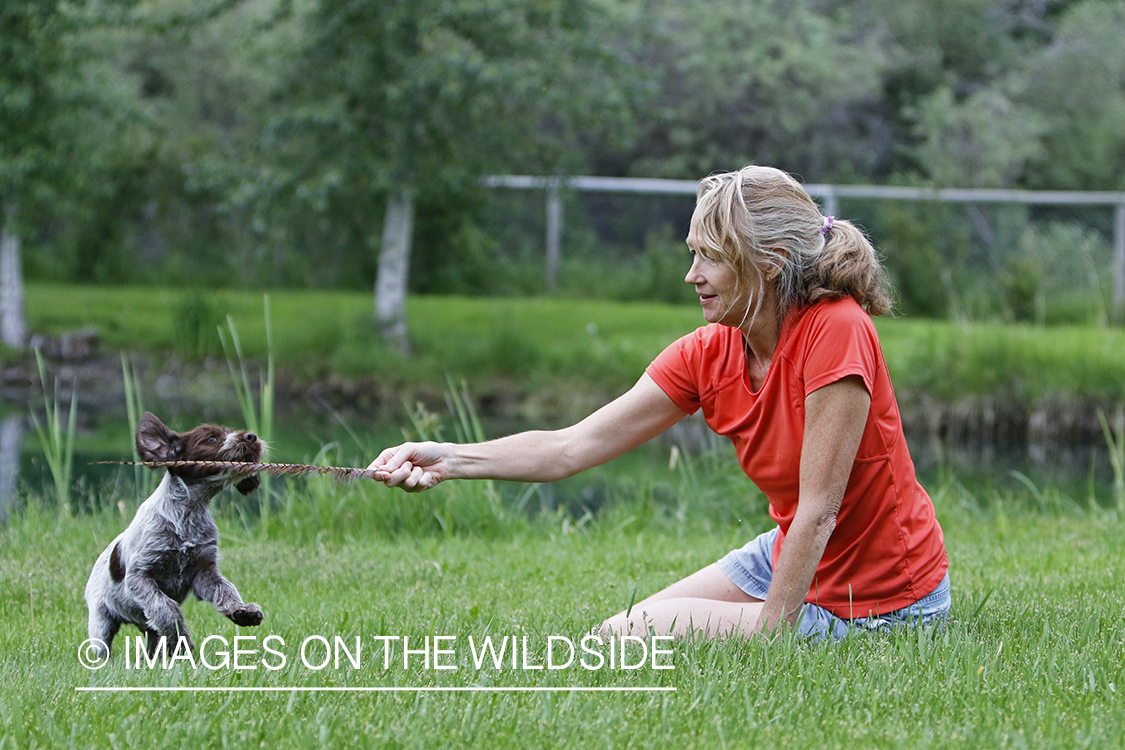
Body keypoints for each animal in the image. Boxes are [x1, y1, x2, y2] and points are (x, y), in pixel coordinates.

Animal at [83, 413, 265, 661]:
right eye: (211, 438)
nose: (252, 437)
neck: (188, 513)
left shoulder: (204, 572)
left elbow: (225, 589)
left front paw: (242, 611)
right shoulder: (141, 576)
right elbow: (165, 608)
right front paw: (182, 640)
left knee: (153, 637)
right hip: (101, 621)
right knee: (104, 644)